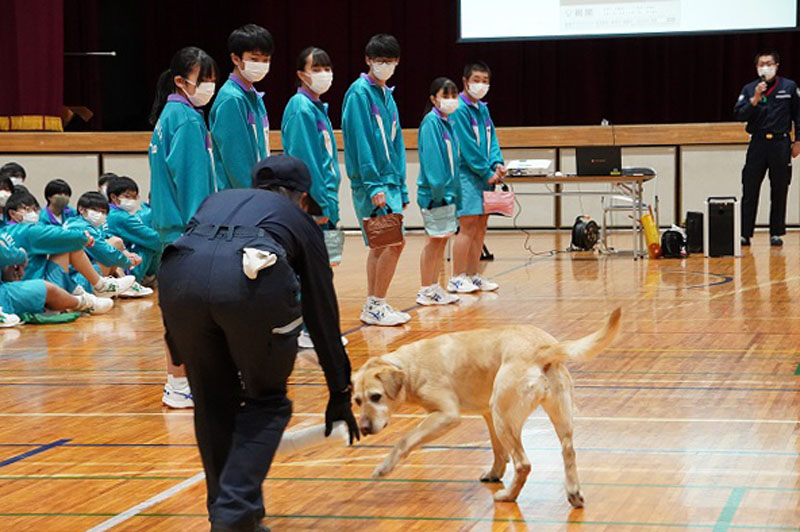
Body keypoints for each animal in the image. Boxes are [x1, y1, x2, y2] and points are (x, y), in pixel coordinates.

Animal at [354, 308, 620, 502]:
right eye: (357, 400)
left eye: (376, 397)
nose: (364, 429)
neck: (408, 367)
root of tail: (543, 349)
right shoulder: (487, 415)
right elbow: (498, 451)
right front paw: (495, 473)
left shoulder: (447, 415)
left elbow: (405, 440)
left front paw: (385, 467)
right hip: (547, 415)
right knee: (568, 451)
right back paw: (573, 492)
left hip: (504, 416)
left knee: (523, 464)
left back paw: (508, 496)